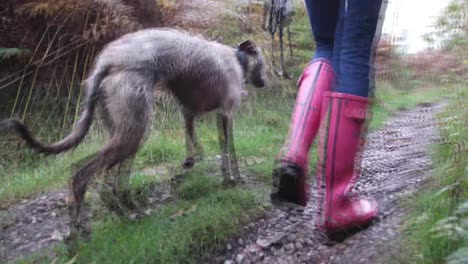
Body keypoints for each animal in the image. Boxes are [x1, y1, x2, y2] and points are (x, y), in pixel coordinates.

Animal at [0, 27, 266, 232]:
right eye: (263, 63)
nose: (265, 82)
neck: (237, 59)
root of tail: (108, 62)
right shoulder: (226, 115)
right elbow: (230, 152)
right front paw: (233, 178)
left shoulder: (189, 113)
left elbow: (195, 146)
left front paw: (190, 165)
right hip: (135, 132)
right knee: (83, 175)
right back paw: (87, 226)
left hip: (124, 132)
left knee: (112, 184)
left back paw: (127, 213)